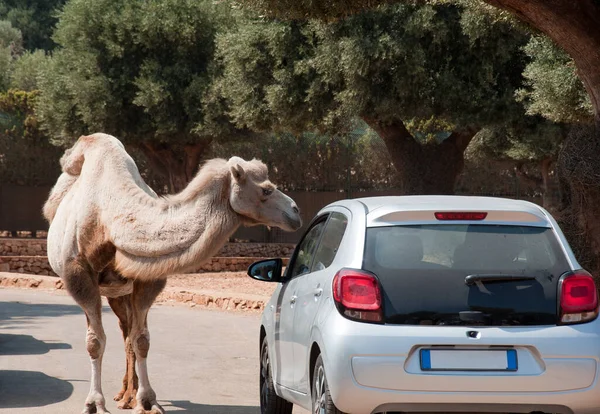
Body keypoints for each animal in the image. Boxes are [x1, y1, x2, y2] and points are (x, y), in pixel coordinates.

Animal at [44, 133, 302, 414]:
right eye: (266, 189)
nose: (296, 212)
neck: (109, 219)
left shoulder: (147, 279)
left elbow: (142, 339)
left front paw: (147, 401)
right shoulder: (78, 275)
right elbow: (94, 342)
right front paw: (94, 404)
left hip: (120, 291)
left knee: (127, 333)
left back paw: (128, 395)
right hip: (110, 291)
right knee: (121, 331)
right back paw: (123, 394)